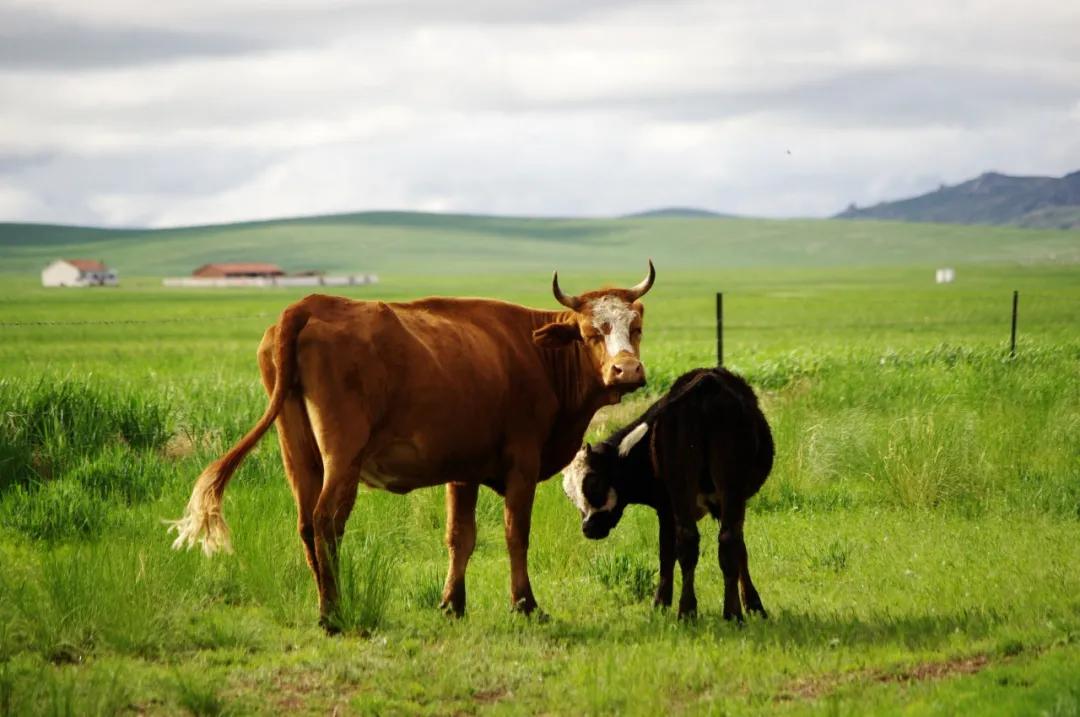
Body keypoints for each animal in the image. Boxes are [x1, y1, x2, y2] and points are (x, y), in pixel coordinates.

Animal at [166, 262, 656, 626]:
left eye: (636, 328)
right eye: (591, 332)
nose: (627, 371)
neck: (538, 355)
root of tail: (309, 305)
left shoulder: (463, 470)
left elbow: (460, 537)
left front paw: (452, 604)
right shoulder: (523, 464)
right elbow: (515, 534)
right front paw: (525, 604)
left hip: (299, 454)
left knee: (306, 524)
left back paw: (325, 604)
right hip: (342, 455)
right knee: (326, 522)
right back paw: (333, 613)